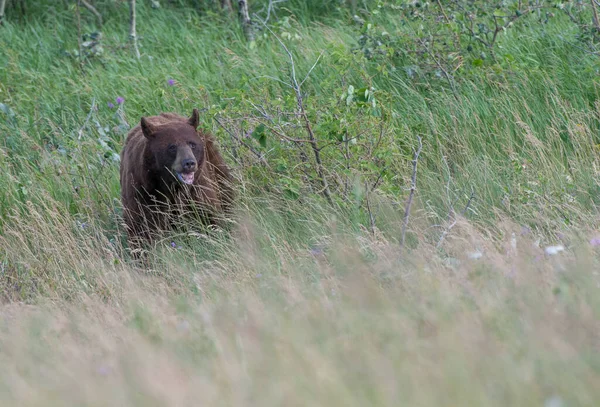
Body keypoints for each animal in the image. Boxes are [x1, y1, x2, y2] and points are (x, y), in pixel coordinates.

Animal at [119, 110, 234, 253]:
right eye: (172, 147)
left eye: (192, 144)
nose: (189, 163)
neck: (170, 185)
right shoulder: (142, 192)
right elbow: (141, 229)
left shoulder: (196, 190)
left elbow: (208, 215)